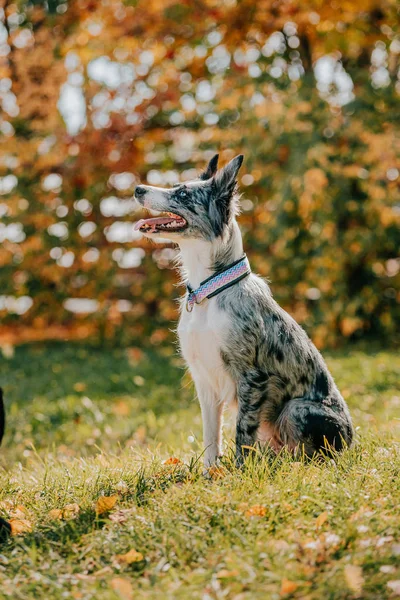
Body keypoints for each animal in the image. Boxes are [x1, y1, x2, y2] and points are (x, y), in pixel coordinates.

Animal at [134, 152, 354, 466]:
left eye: (184, 194)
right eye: (176, 186)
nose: (137, 189)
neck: (209, 291)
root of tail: (352, 441)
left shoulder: (252, 376)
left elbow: (242, 431)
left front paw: (240, 470)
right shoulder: (204, 380)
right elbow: (211, 435)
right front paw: (210, 472)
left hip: (296, 409)